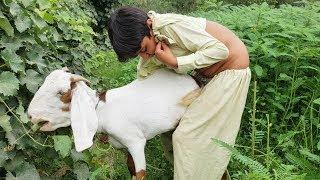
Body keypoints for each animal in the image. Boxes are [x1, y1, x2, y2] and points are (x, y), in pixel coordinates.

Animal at [27, 67, 199, 179]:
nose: (30, 115)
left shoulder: (135, 142)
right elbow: (131, 168)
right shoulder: (125, 147)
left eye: (62, 92)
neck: (101, 110)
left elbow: (140, 174)